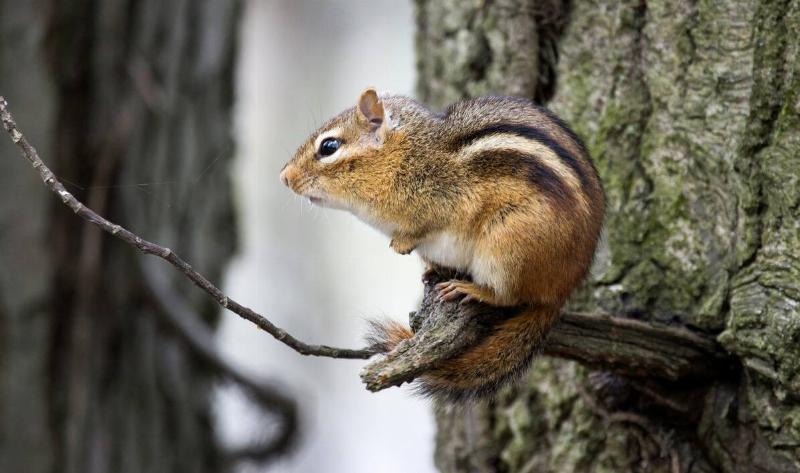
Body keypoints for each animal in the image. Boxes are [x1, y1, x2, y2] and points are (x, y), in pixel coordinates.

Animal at [280, 88, 604, 400]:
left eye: (329, 147)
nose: (284, 177)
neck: (406, 155)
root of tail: (561, 291)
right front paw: (426, 266)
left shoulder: (448, 200)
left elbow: (427, 226)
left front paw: (402, 243)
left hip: (506, 247)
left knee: (509, 296)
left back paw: (471, 289)